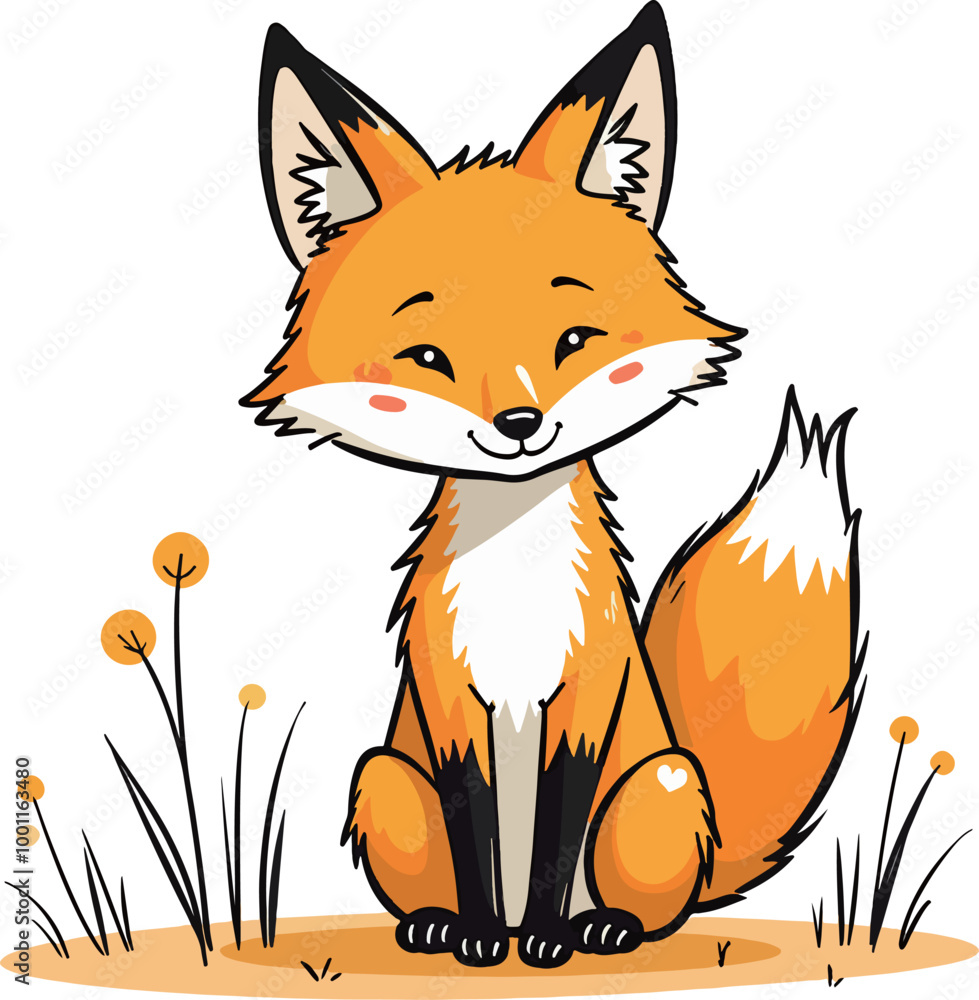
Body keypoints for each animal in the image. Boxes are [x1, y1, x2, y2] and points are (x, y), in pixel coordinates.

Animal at [243, 3, 865, 969]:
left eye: (575, 339)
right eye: (427, 358)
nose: (519, 425)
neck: (515, 581)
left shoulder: (585, 695)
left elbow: (554, 842)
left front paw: (541, 940)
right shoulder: (450, 705)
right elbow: (477, 839)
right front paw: (475, 937)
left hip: (661, 782)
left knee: (648, 906)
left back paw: (600, 928)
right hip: (382, 776)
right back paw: (439, 925)